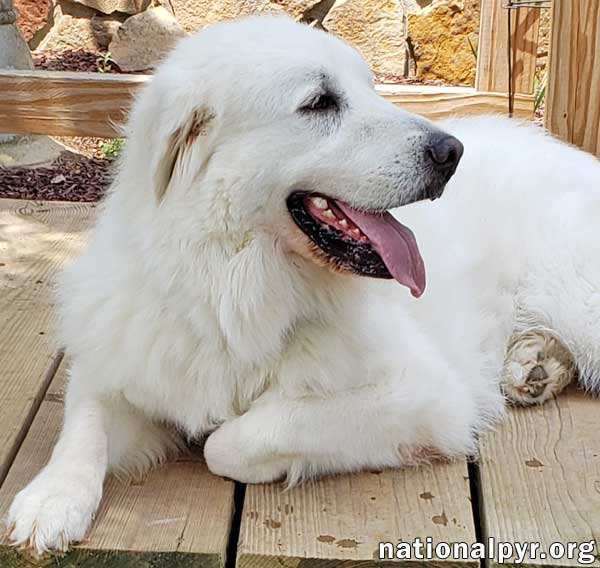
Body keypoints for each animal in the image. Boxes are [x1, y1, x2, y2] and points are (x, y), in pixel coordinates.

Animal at [4, 14, 600, 556]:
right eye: (318, 103)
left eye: (370, 89)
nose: (450, 152)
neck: (232, 285)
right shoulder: (120, 361)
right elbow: (83, 426)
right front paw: (49, 502)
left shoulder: (427, 396)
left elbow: (232, 440)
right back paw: (536, 365)